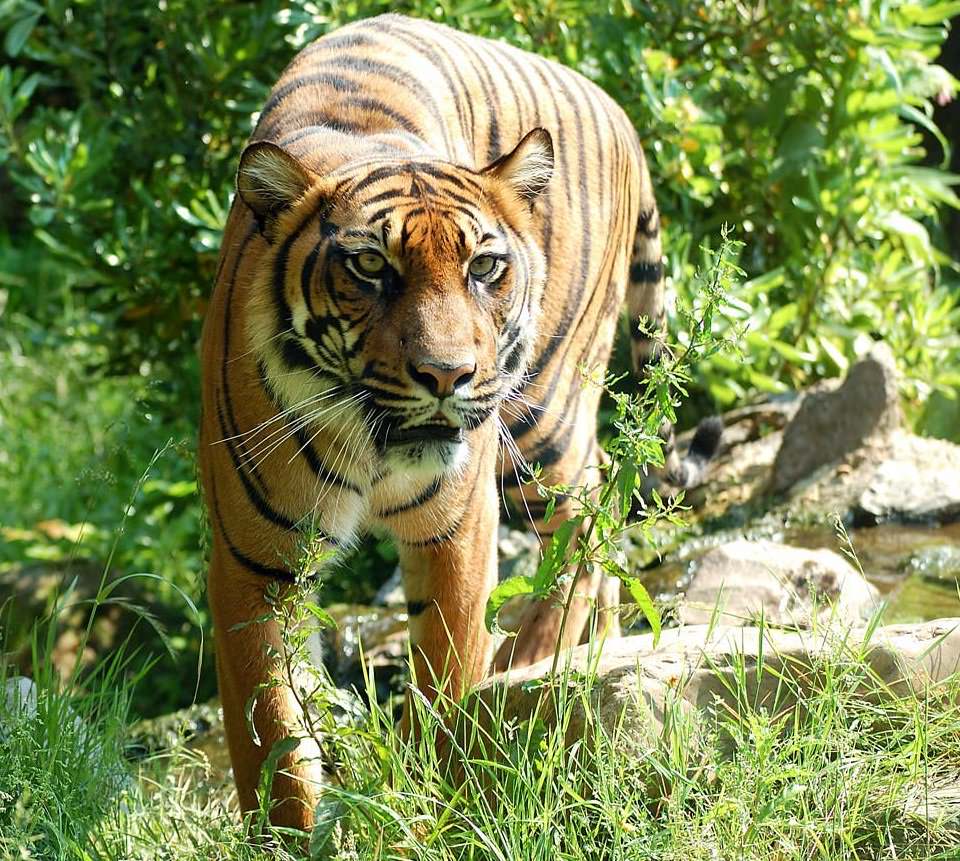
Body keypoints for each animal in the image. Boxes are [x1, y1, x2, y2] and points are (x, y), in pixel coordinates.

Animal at [198, 13, 720, 829]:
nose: (447, 375)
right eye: (370, 268)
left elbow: (446, 672)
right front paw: (287, 831)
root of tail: (620, 111)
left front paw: (437, 802)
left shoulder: (455, 530)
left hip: (541, 412)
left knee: (586, 513)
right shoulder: (254, 562)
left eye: (484, 267)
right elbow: (271, 731)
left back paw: (534, 658)